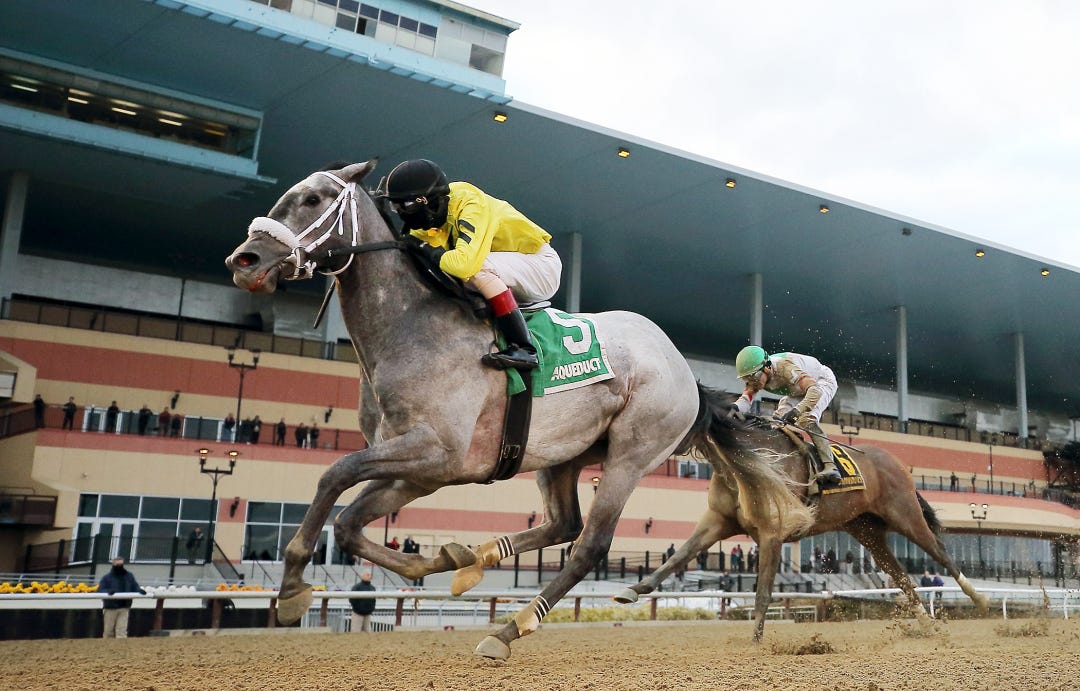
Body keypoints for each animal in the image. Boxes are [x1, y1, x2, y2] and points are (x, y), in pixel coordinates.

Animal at [224, 161, 813, 659]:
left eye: (312, 199)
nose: (243, 261)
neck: (410, 329)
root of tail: (682, 368)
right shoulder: (423, 469)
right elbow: (348, 523)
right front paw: (438, 560)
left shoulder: (434, 452)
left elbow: (334, 474)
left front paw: (293, 585)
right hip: (564, 454)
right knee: (562, 524)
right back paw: (475, 561)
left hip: (632, 451)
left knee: (589, 543)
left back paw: (511, 628)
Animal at [615, 412, 990, 641]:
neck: (743, 460)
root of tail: (896, 462)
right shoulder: (718, 522)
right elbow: (677, 558)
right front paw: (633, 589)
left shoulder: (771, 532)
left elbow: (764, 591)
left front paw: (756, 640)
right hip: (867, 530)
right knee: (902, 577)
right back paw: (927, 624)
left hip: (905, 514)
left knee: (941, 553)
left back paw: (980, 599)